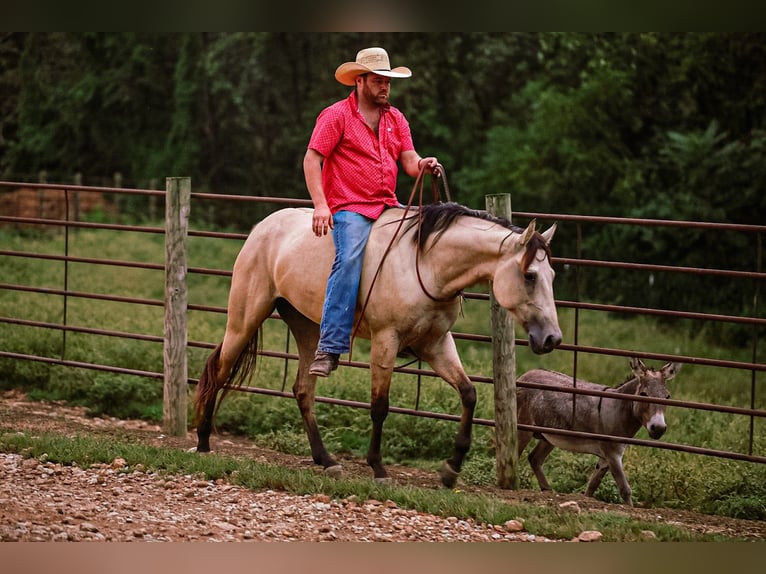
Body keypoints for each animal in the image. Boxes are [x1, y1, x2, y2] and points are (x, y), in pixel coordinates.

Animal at [193, 201, 562, 487]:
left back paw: (326, 459)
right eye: (530, 275)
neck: (426, 265)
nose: (552, 338)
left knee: (303, 390)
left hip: (308, 328)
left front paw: (450, 469)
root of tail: (263, 228)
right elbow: (380, 406)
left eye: (552, 276)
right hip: (244, 318)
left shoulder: (437, 344)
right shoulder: (386, 340)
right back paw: (203, 441)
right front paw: (378, 467)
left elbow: (469, 394)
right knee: (220, 371)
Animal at [516, 357, 681, 505]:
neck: (619, 410)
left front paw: (585, 500)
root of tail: (526, 374)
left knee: (534, 458)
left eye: (667, 396)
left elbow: (592, 486)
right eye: (643, 394)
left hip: (549, 436)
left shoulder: (606, 458)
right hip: (523, 428)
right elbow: (625, 489)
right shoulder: (613, 454)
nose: (658, 428)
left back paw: (548, 491)